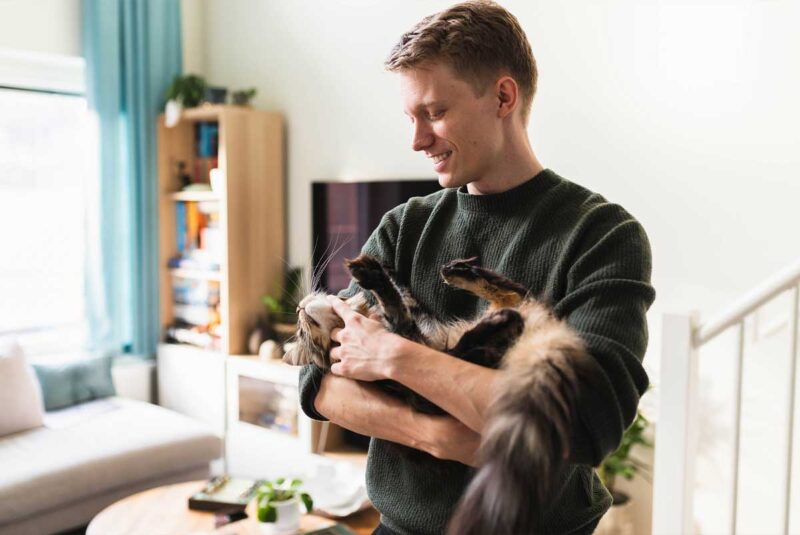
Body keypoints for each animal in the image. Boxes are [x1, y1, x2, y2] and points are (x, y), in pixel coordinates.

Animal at [284, 255, 604, 535]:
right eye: (301, 332)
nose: (299, 307)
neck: (367, 319)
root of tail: (536, 343)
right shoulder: (411, 367)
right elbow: (397, 309)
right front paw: (376, 278)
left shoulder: (420, 318)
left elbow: (405, 295)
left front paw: (384, 268)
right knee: (482, 334)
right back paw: (494, 321)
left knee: (515, 293)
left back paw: (461, 272)